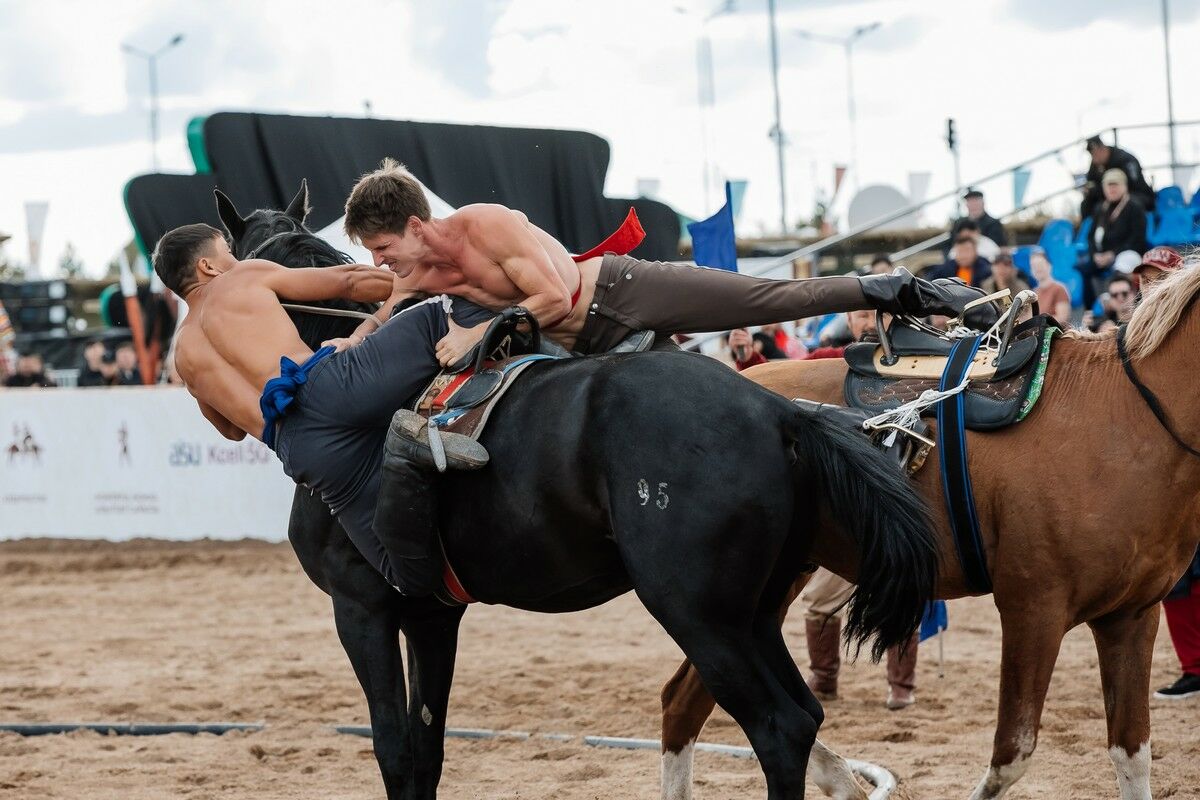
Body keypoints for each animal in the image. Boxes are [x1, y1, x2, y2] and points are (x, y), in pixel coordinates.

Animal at [220, 185, 940, 796]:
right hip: (755, 611)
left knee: (778, 728)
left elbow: (394, 749)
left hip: (698, 613)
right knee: (801, 716)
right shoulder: (431, 615)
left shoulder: (362, 608)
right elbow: (427, 749)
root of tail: (779, 412)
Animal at [657, 267, 1200, 800]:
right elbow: (1011, 757)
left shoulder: (1130, 617)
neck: (1122, 419)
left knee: (692, 703)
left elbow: (1132, 755)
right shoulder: (1033, 610)